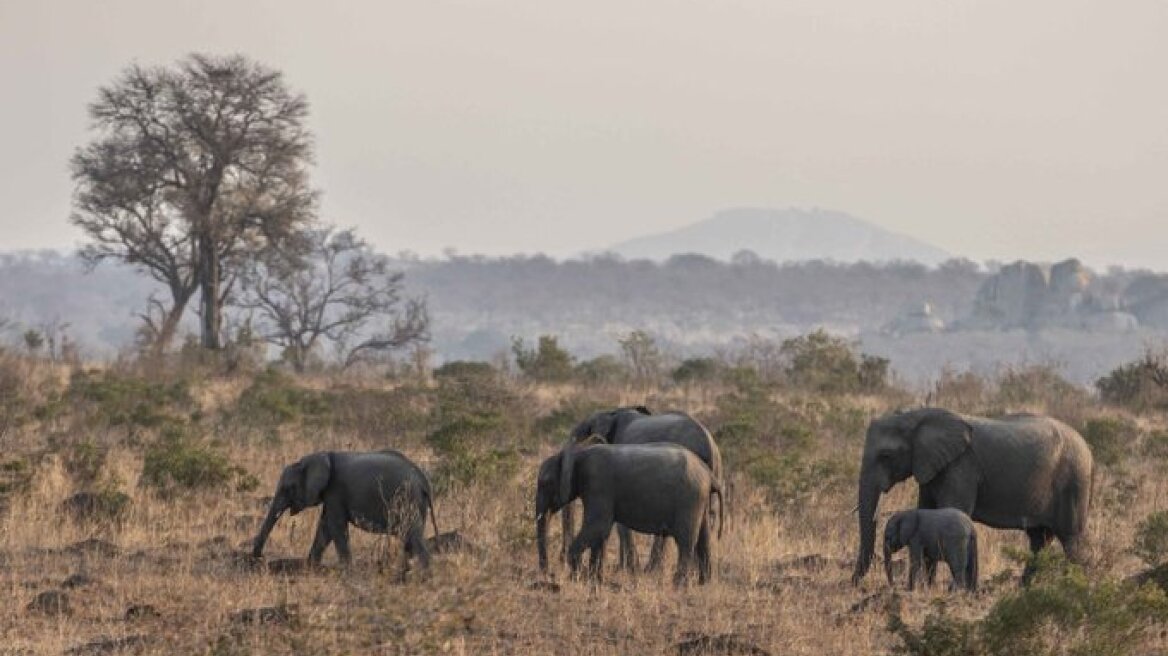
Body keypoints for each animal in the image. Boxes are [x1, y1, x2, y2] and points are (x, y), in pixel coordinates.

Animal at [251, 445, 439, 574]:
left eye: (288, 488)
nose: (260, 557)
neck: (320, 456)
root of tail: (423, 481)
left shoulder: (336, 490)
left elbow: (335, 526)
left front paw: (346, 571)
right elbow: (325, 528)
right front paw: (311, 567)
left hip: (407, 499)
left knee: (412, 535)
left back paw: (422, 575)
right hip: (416, 502)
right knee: (409, 537)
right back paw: (405, 573)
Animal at [534, 438, 719, 581]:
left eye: (545, 483)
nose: (548, 574)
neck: (578, 453)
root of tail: (709, 474)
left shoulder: (598, 485)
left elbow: (597, 527)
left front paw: (577, 578)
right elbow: (601, 533)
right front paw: (594, 580)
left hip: (689, 500)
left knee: (685, 542)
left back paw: (679, 586)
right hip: (699, 499)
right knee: (703, 539)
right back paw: (703, 584)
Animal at [562, 406, 724, 569]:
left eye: (579, 436)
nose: (561, 556)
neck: (611, 413)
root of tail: (708, 444)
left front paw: (626, 568)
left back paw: (651, 569)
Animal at [850, 408, 1093, 581]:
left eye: (886, 456)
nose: (855, 584)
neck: (915, 416)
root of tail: (1089, 451)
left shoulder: (961, 467)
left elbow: (951, 511)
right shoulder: (931, 467)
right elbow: (927, 513)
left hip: (1073, 483)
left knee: (1072, 542)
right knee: (1038, 541)